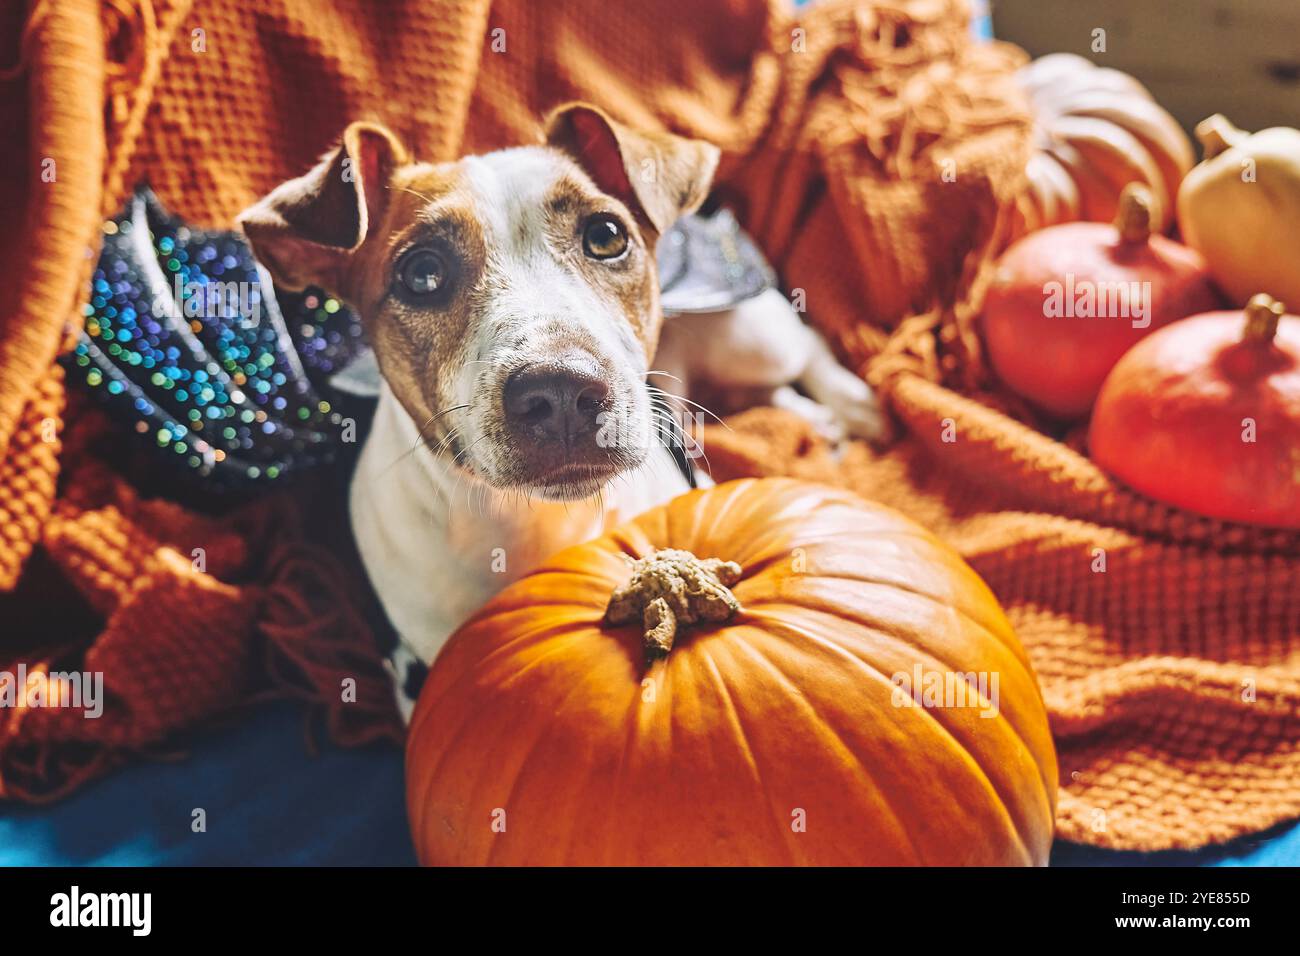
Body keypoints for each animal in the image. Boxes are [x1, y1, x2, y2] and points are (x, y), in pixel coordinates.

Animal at [239, 104, 889, 717]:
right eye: (421, 273)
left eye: (606, 236)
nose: (560, 393)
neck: (545, 523)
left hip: (749, 335)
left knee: (805, 339)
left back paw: (853, 406)